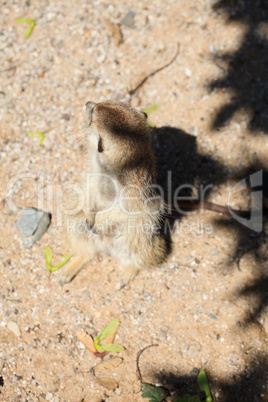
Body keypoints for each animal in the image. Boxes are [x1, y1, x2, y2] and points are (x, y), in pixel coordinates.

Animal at [58, 100, 168, 286]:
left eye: (92, 115)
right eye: (107, 102)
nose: (88, 103)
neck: (112, 169)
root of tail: (106, 247)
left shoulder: (136, 191)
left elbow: (132, 210)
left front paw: (99, 222)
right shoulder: (94, 166)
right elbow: (89, 184)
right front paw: (89, 214)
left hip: (142, 237)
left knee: (141, 252)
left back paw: (128, 272)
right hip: (76, 226)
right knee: (76, 230)